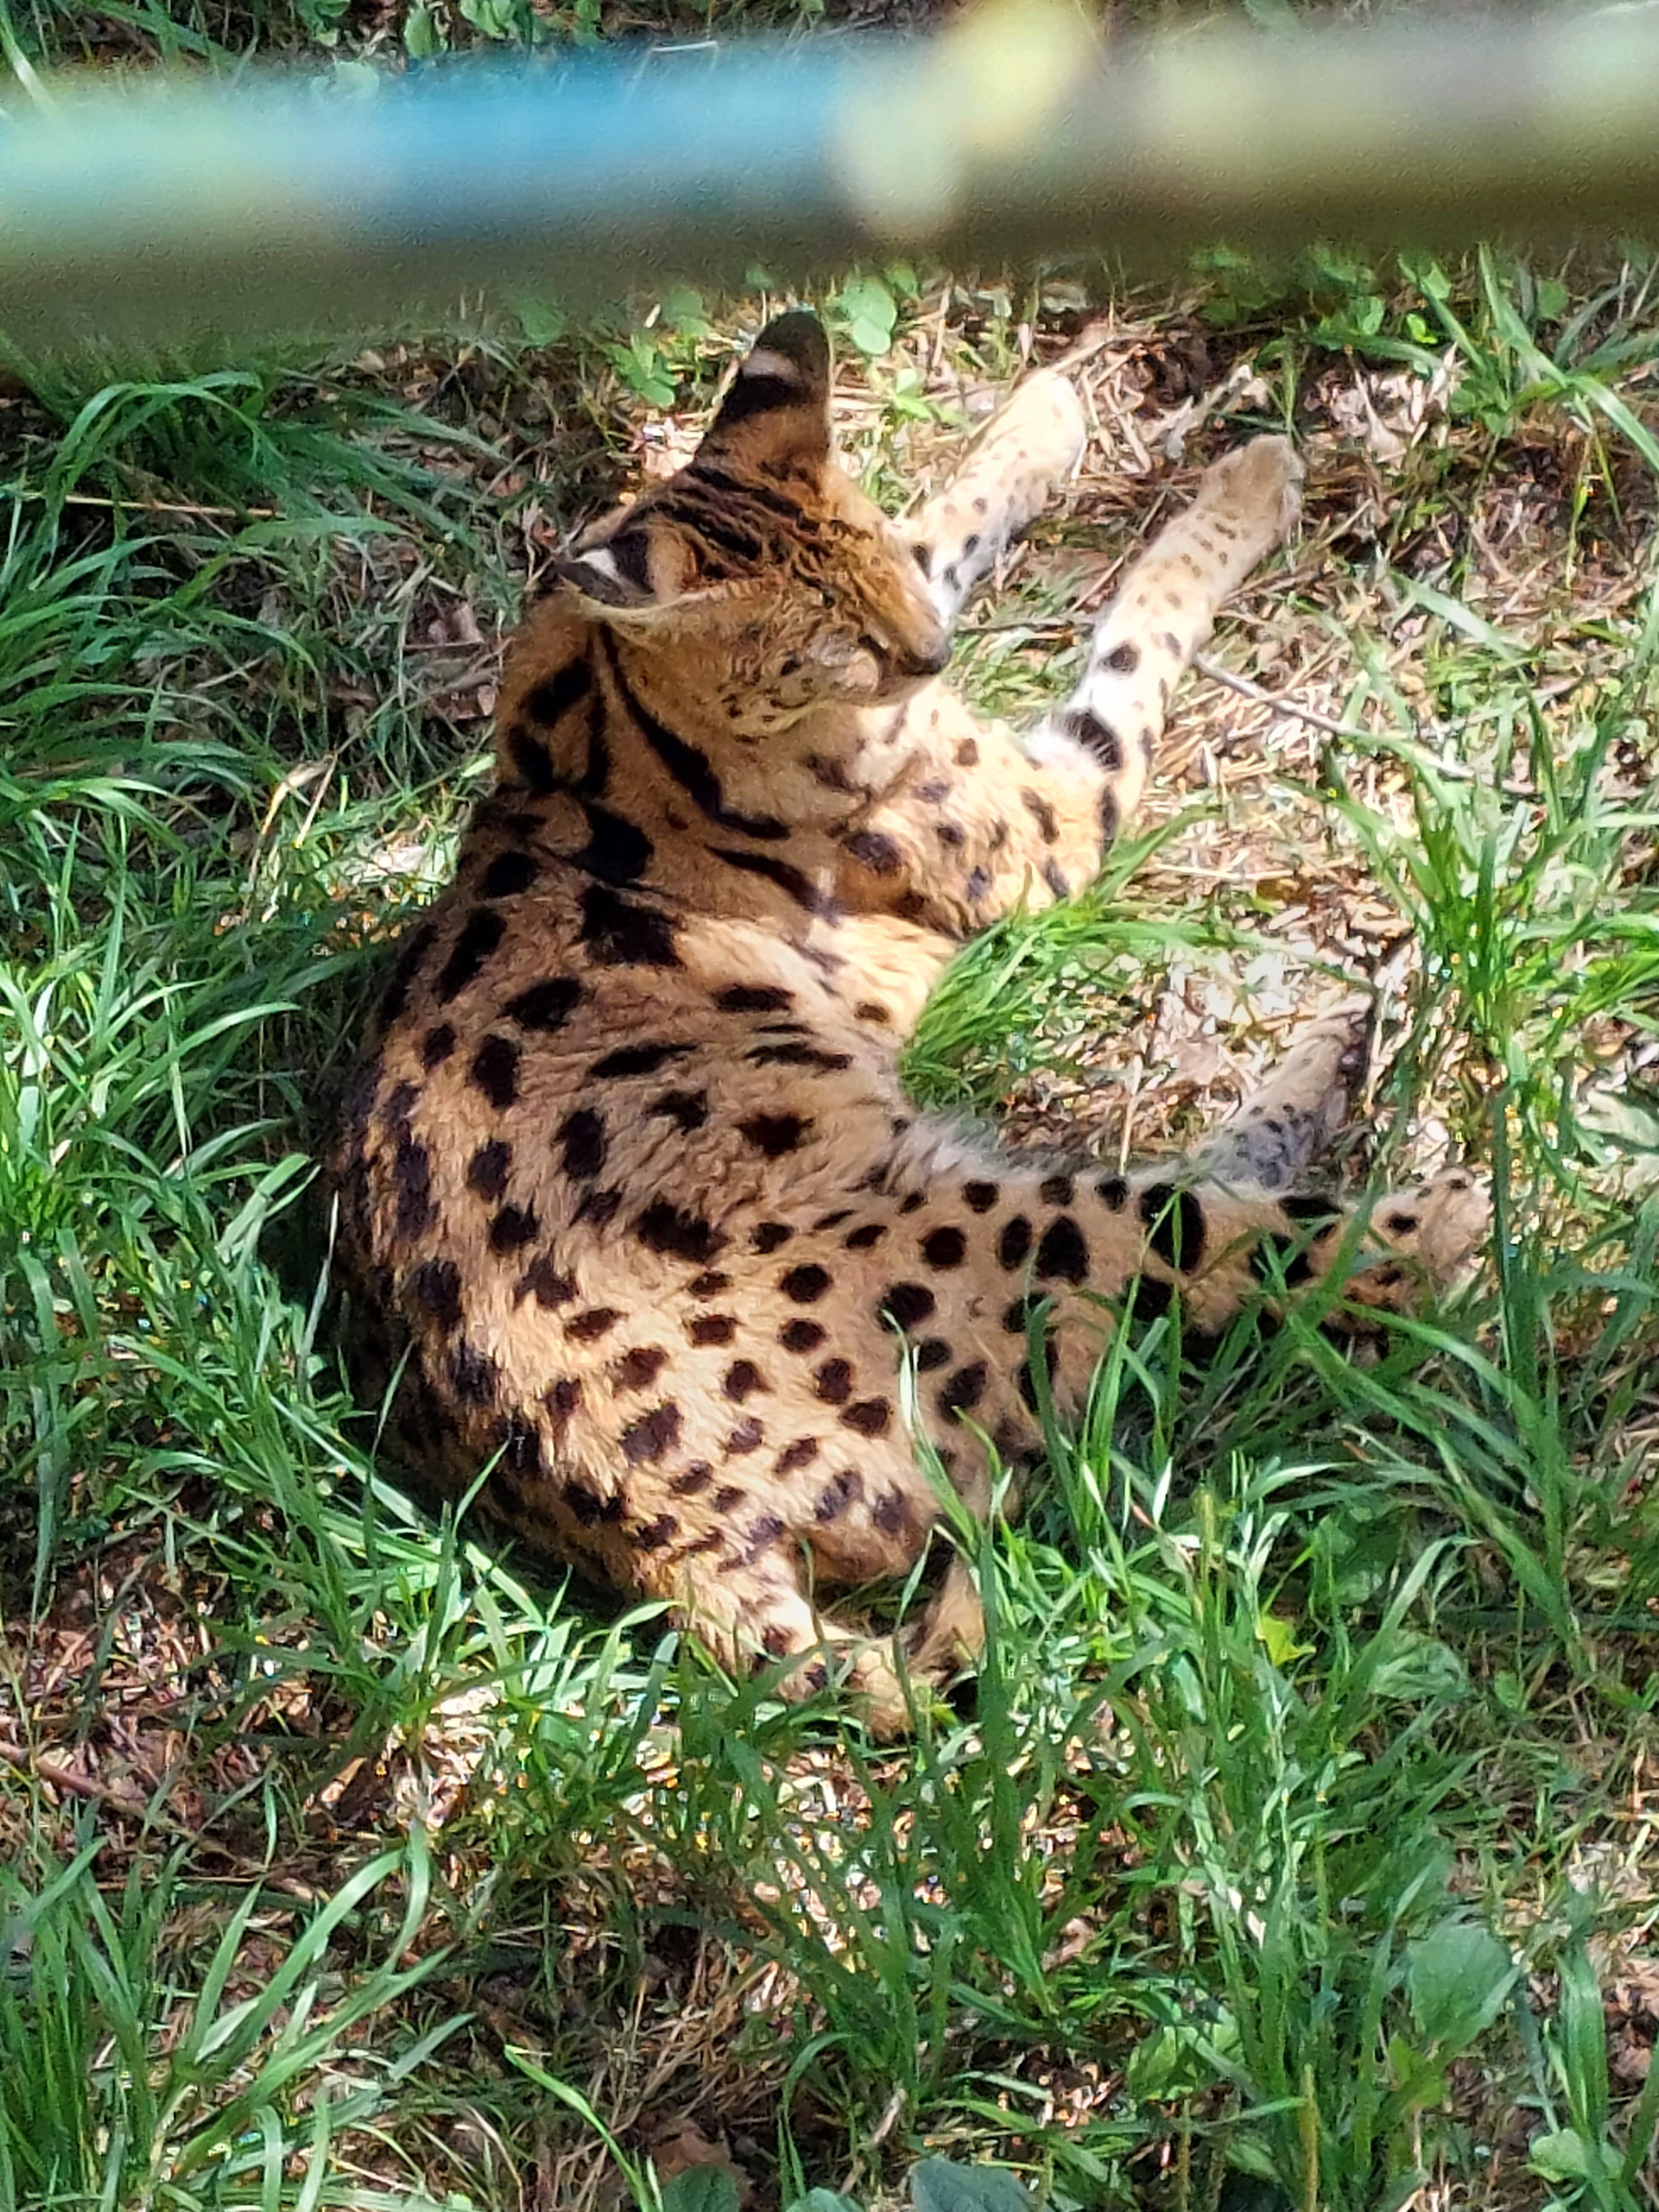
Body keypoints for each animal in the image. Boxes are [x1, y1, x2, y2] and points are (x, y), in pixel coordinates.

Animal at [330, 308, 1488, 1735]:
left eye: (868, 572)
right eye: (823, 646)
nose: (927, 656)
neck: (601, 700)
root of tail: (657, 1536)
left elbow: (956, 524)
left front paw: (1042, 423)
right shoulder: (1049, 822)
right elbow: (1135, 638)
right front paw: (1242, 488)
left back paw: (1342, 1052)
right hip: (1009, 1227)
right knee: (1230, 1258)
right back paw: (1453, 1206)